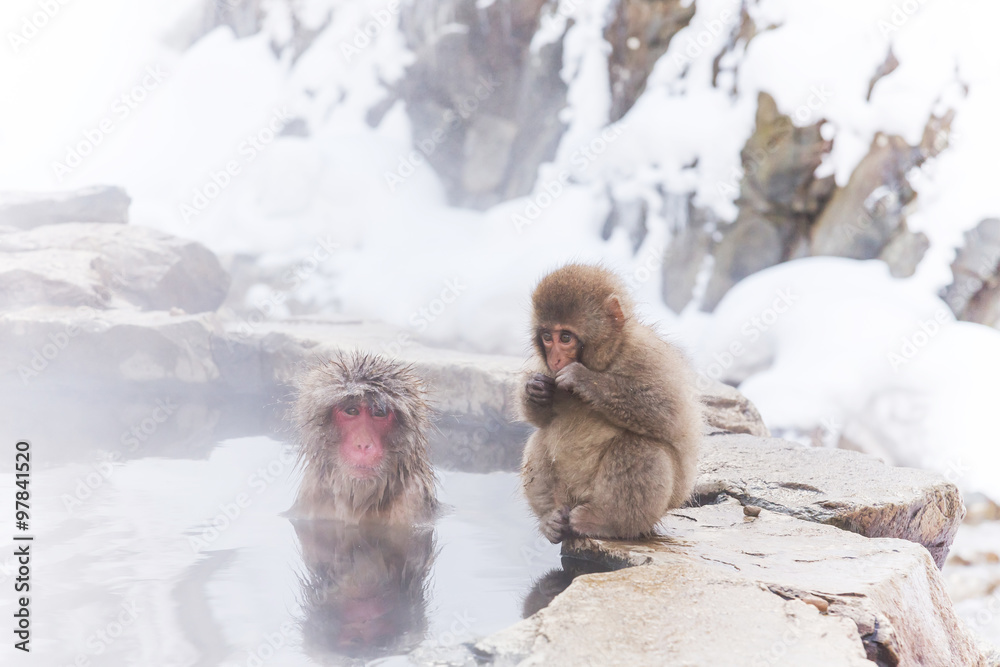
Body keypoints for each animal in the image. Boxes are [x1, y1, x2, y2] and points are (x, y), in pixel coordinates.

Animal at [519, 264, 702, 543]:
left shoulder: (647, 355)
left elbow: (667, 412)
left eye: (565, 338)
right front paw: (534, 389)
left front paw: (582, 379)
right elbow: (539, 418)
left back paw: (605, 521)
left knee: (641, 446)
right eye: (547, 336)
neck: (606, 360)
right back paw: (552, 519)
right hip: (568, 494)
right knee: (539, 437)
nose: (555, 360)